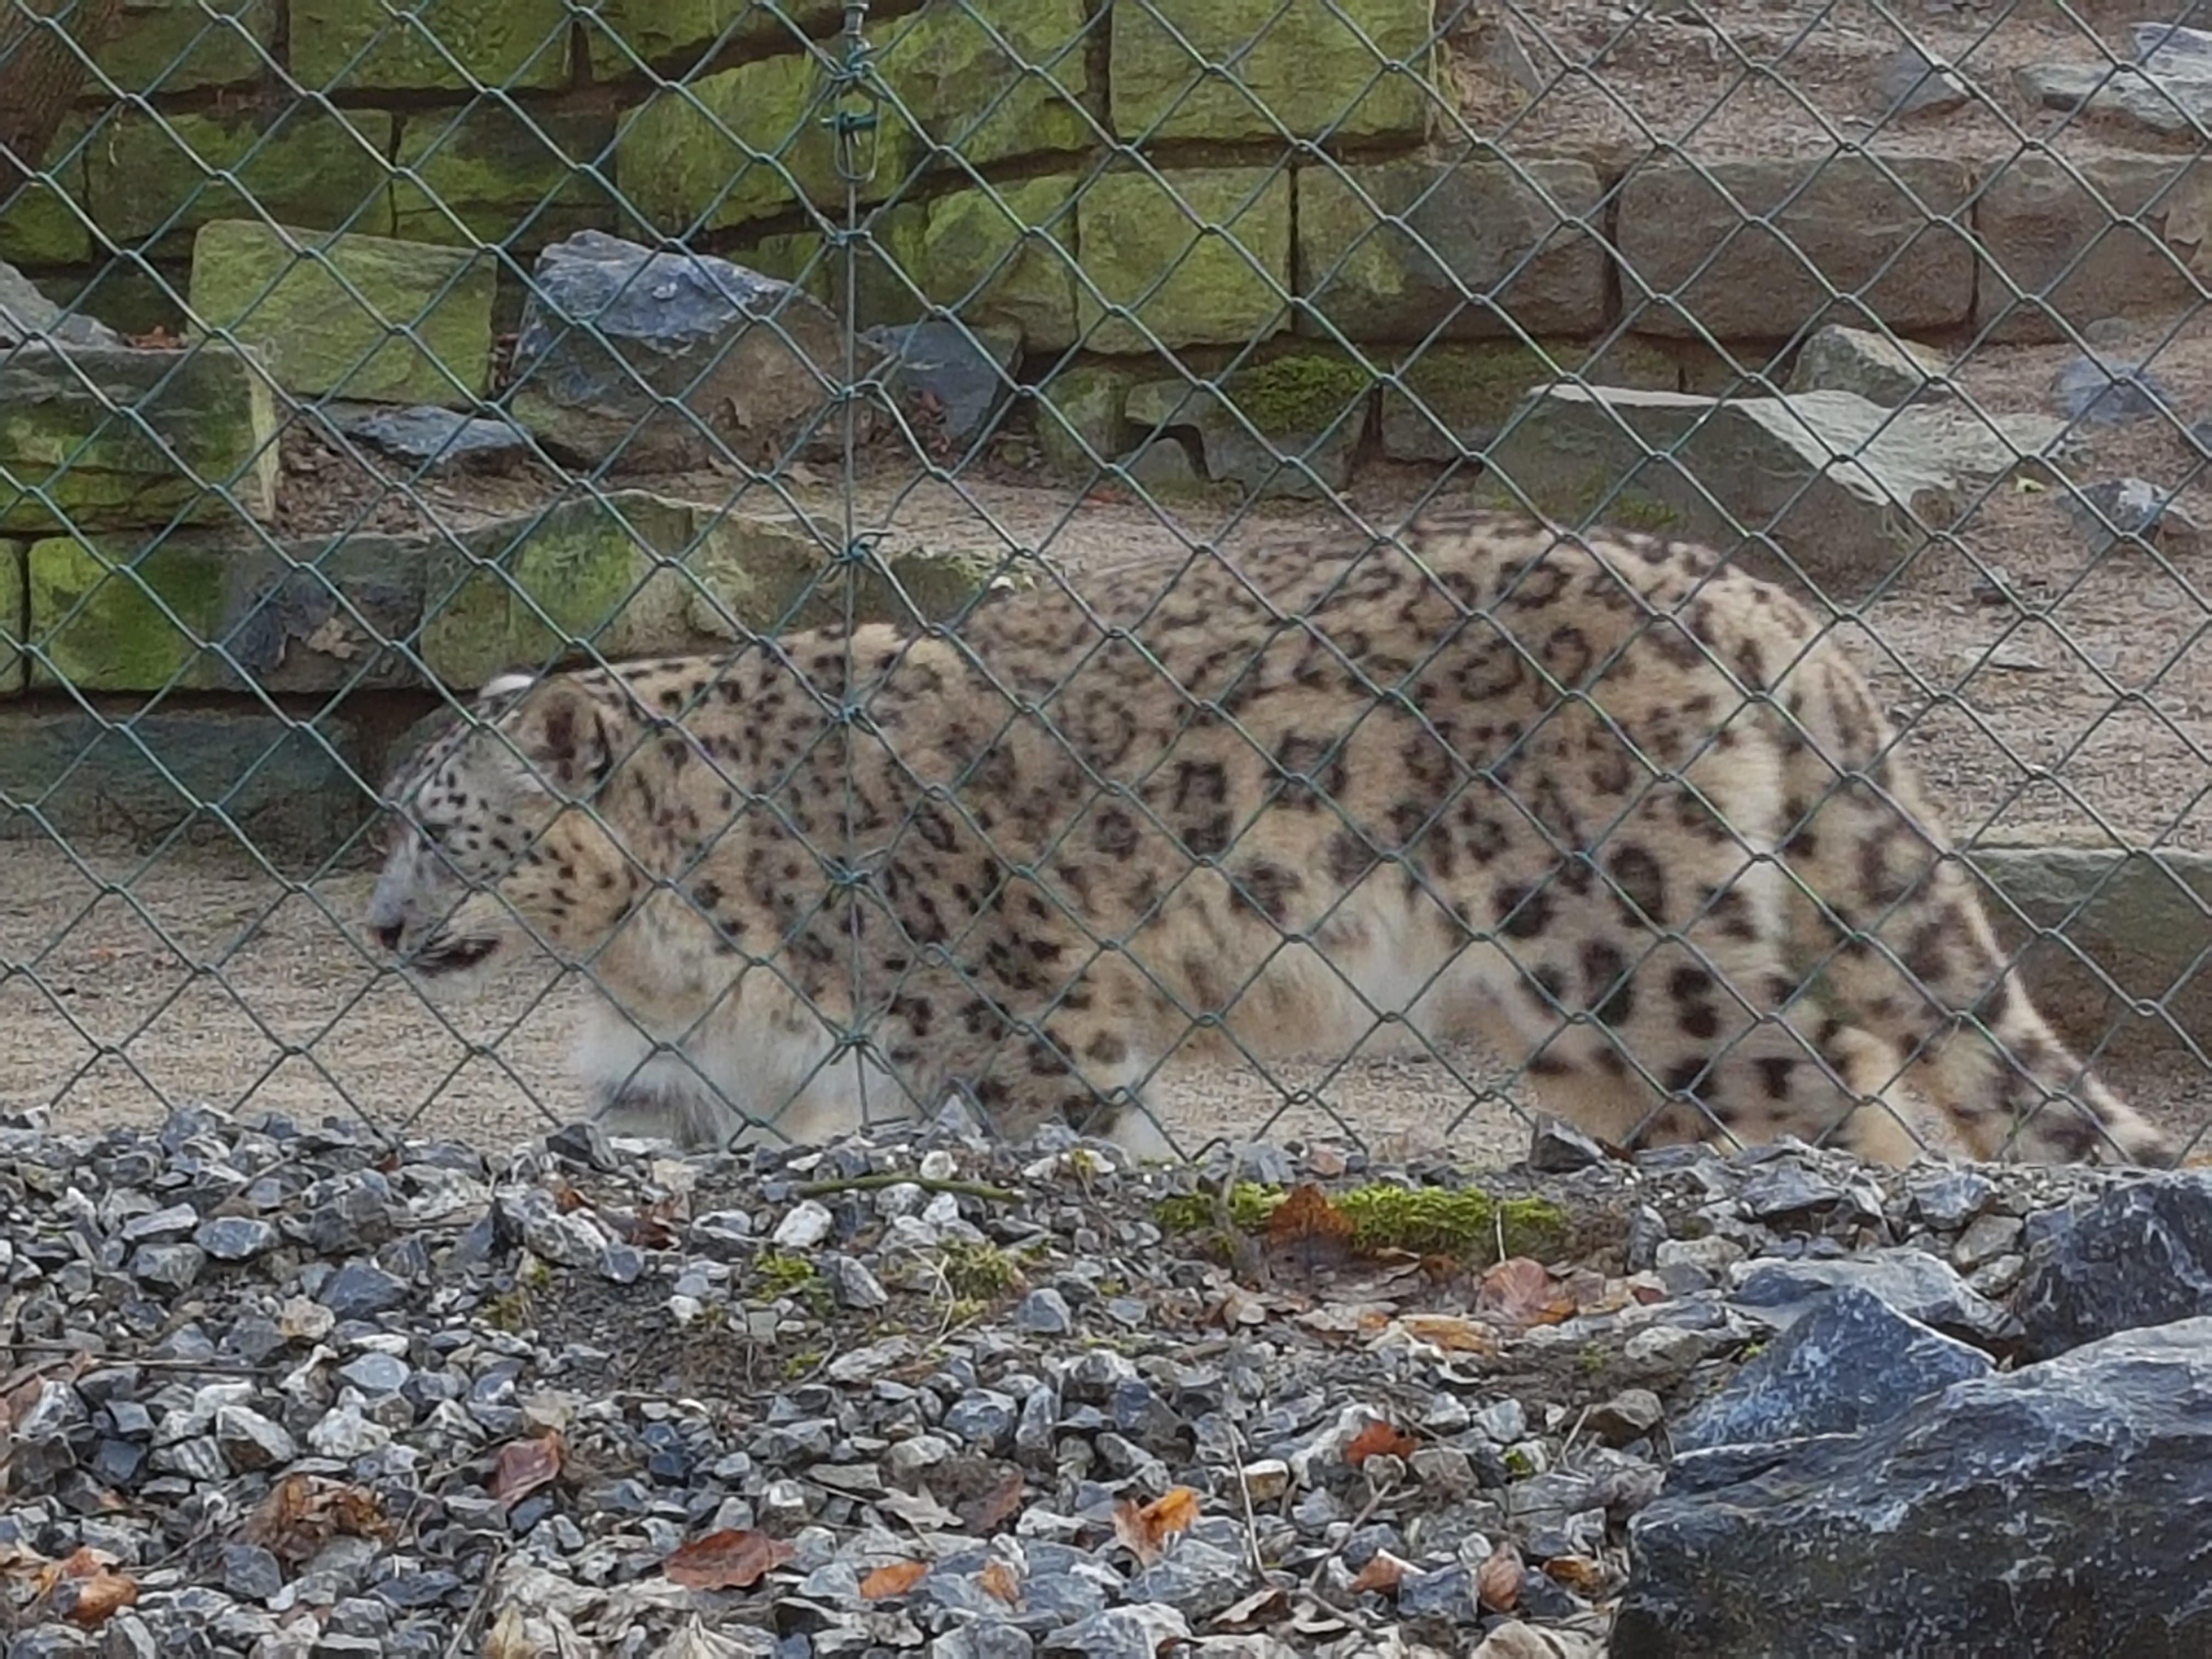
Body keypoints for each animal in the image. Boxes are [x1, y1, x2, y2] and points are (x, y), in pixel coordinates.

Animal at [364, 504, 2174, 1169]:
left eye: (442, 833)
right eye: (397, 828)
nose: (377, 928)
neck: (669, 951)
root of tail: (1755, 600)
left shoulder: (1022, 1023)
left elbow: (1071, 1129)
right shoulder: (681, 1065)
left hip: (1616, 939)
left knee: (1827, 1083)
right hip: (1609, 992)